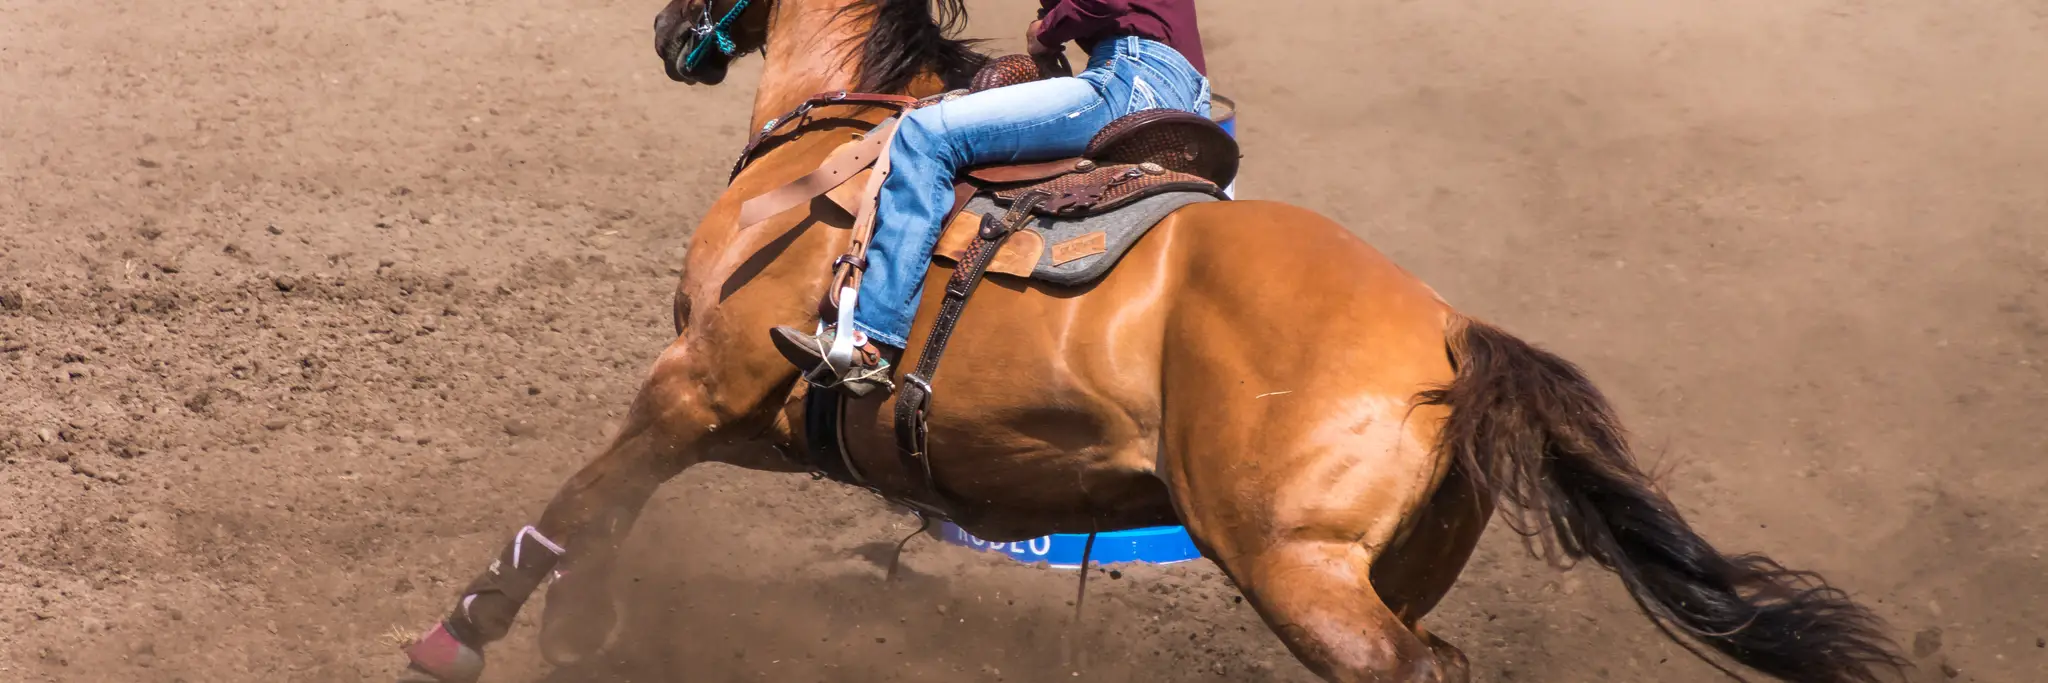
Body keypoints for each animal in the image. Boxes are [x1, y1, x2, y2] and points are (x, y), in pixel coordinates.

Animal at [396, 0, 1910, 681]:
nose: (669, 35)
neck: (827, 147)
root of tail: (1449, 330)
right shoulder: (746, 425)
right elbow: (611, 513)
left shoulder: (697, 383)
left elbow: (576, 500)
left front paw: (461, 630)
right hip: (1385, 566)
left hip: (1298, 569)